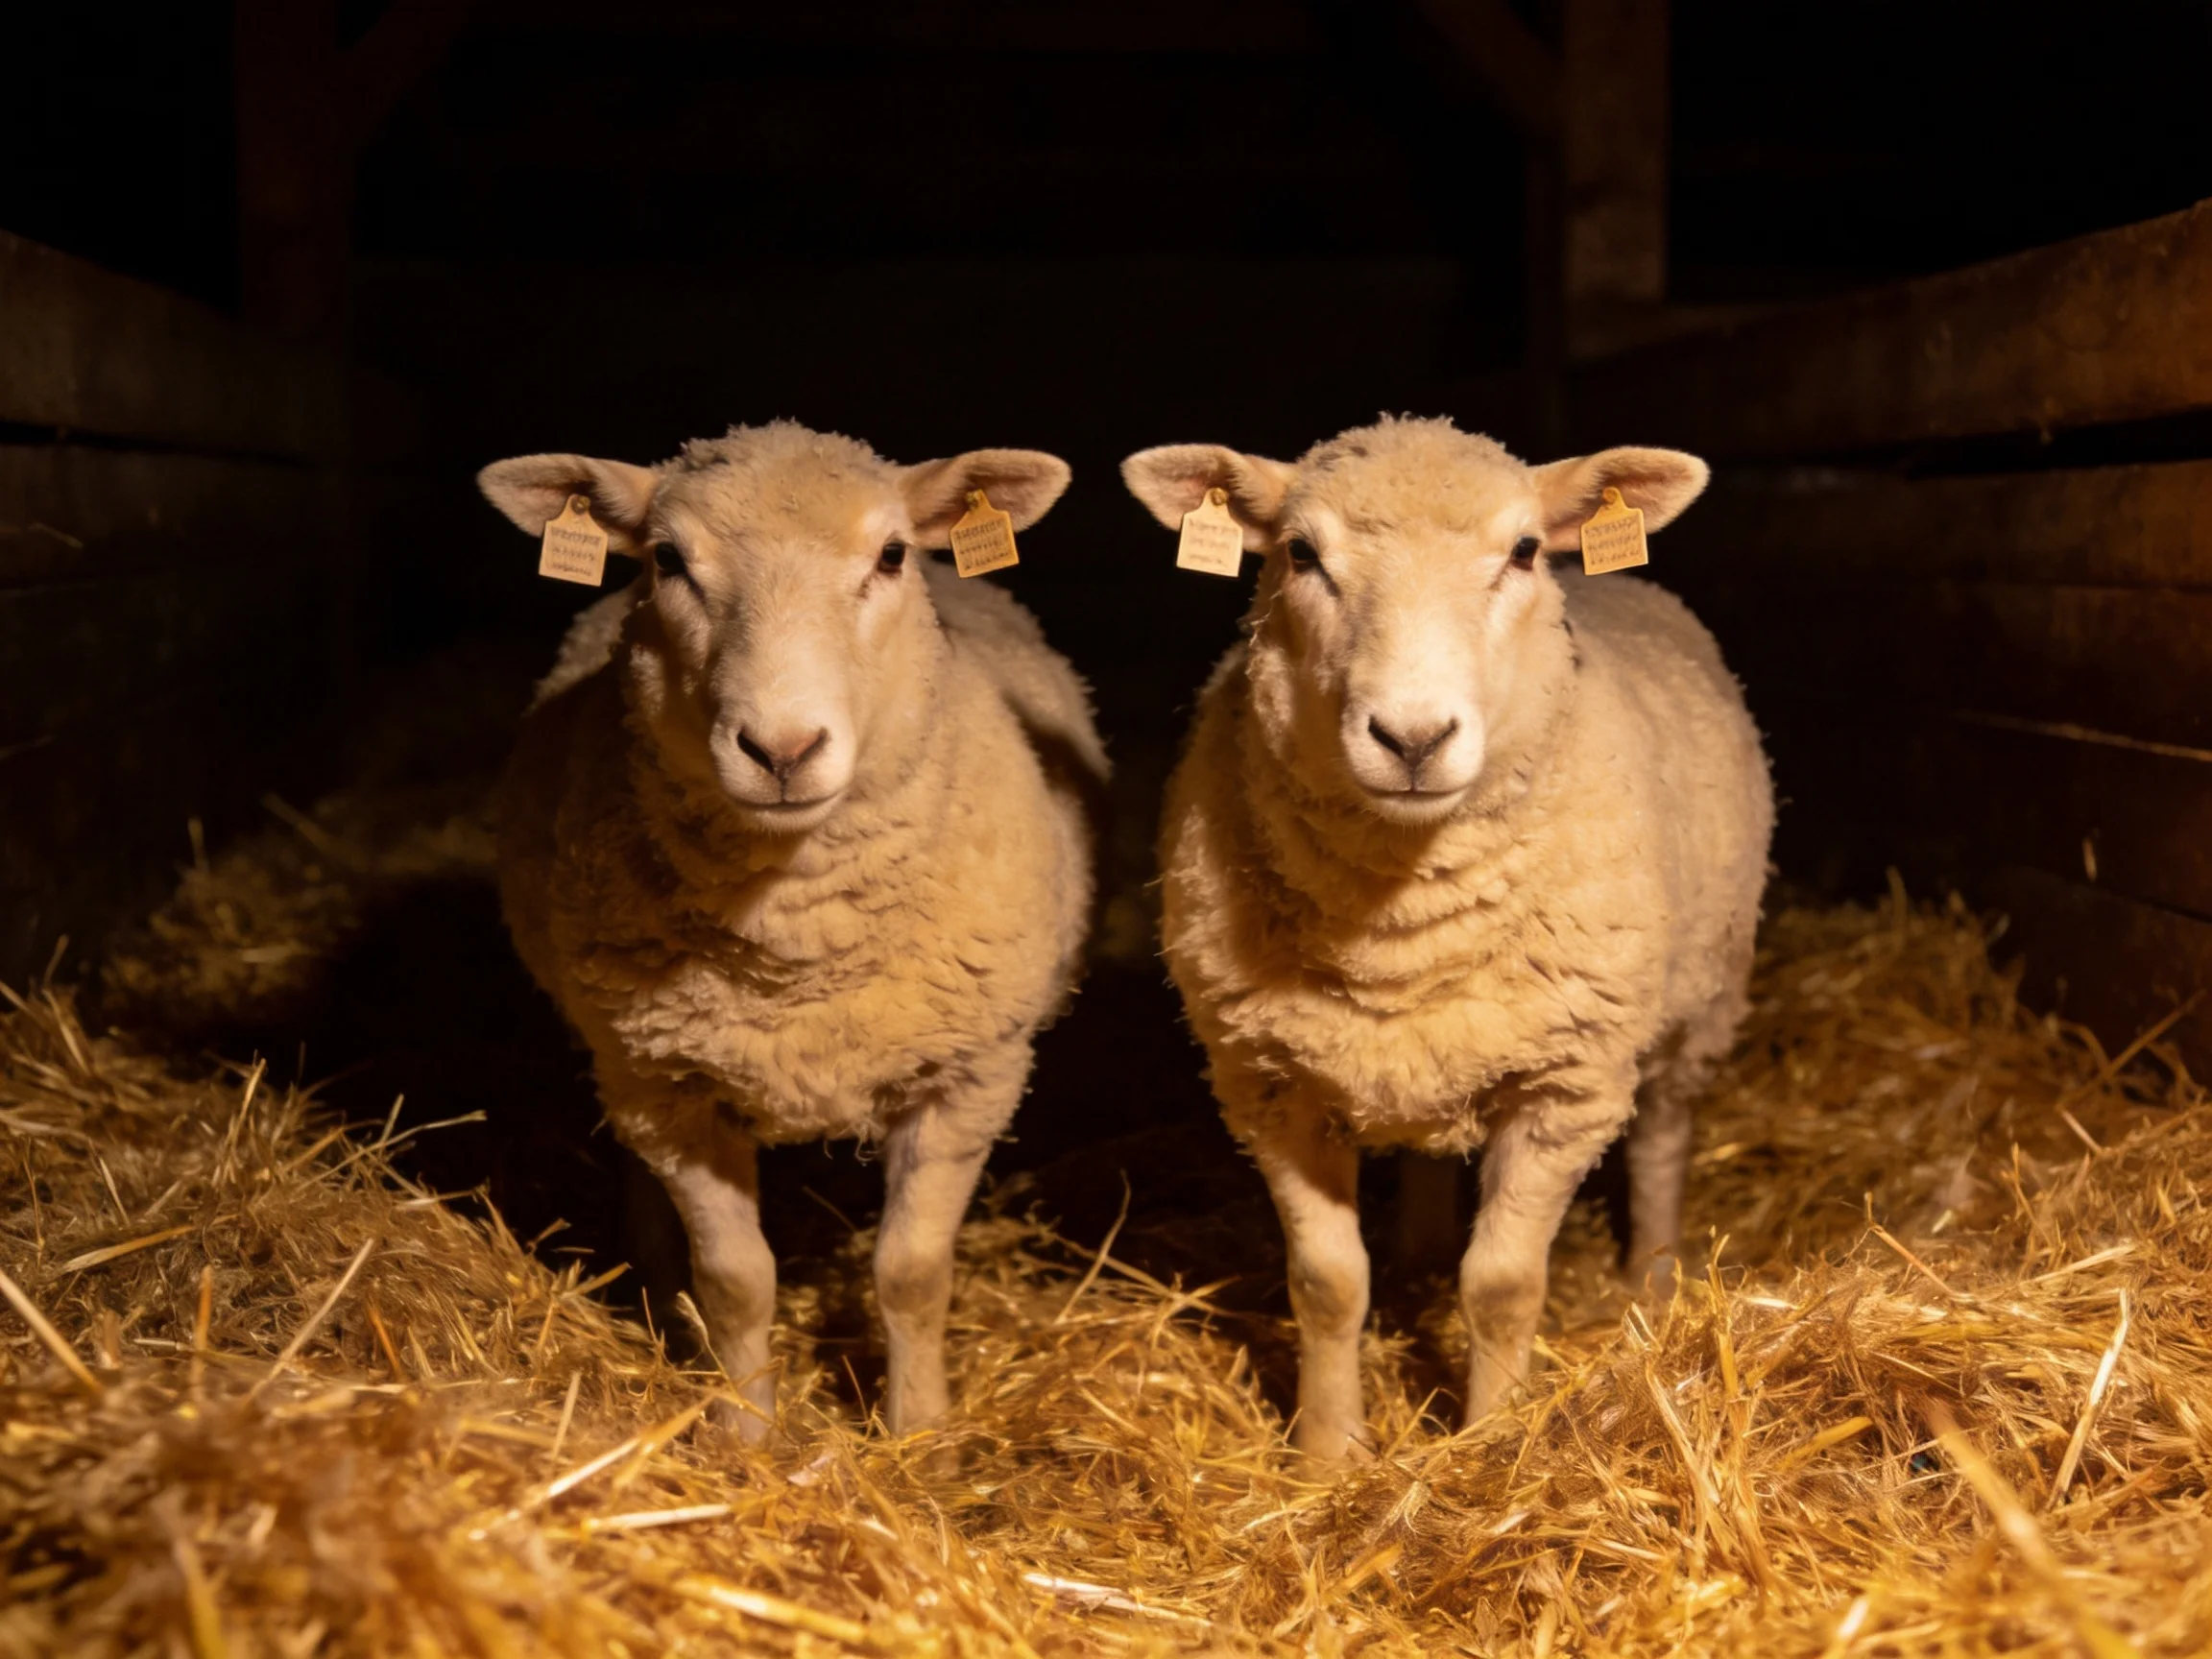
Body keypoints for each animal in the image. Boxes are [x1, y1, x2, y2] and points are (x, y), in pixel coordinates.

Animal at [478, 421, 1106, 1438]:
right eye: (666, 560)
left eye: (891, 555)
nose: (782, 750)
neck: (797, 952)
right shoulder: (668, 1085)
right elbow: (738, 1280)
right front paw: (747, 1434)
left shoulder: (972, 1075)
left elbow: (912, 1273)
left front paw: (921, 1436)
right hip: (623, 1054)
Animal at [1123, 416, 1772, 1461]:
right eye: (1300, 554)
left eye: (1523, 552)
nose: (1413, 738)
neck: (1401, 926)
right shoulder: (1268, 1081)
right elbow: (1326, 1283)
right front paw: (1327, 1451)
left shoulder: (1566, 1085)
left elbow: (1502, 1285)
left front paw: (1490, 1440)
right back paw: (1421, 1249)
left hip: (1697, 1004)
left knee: (1665, 1134)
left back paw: (1652, 1275)